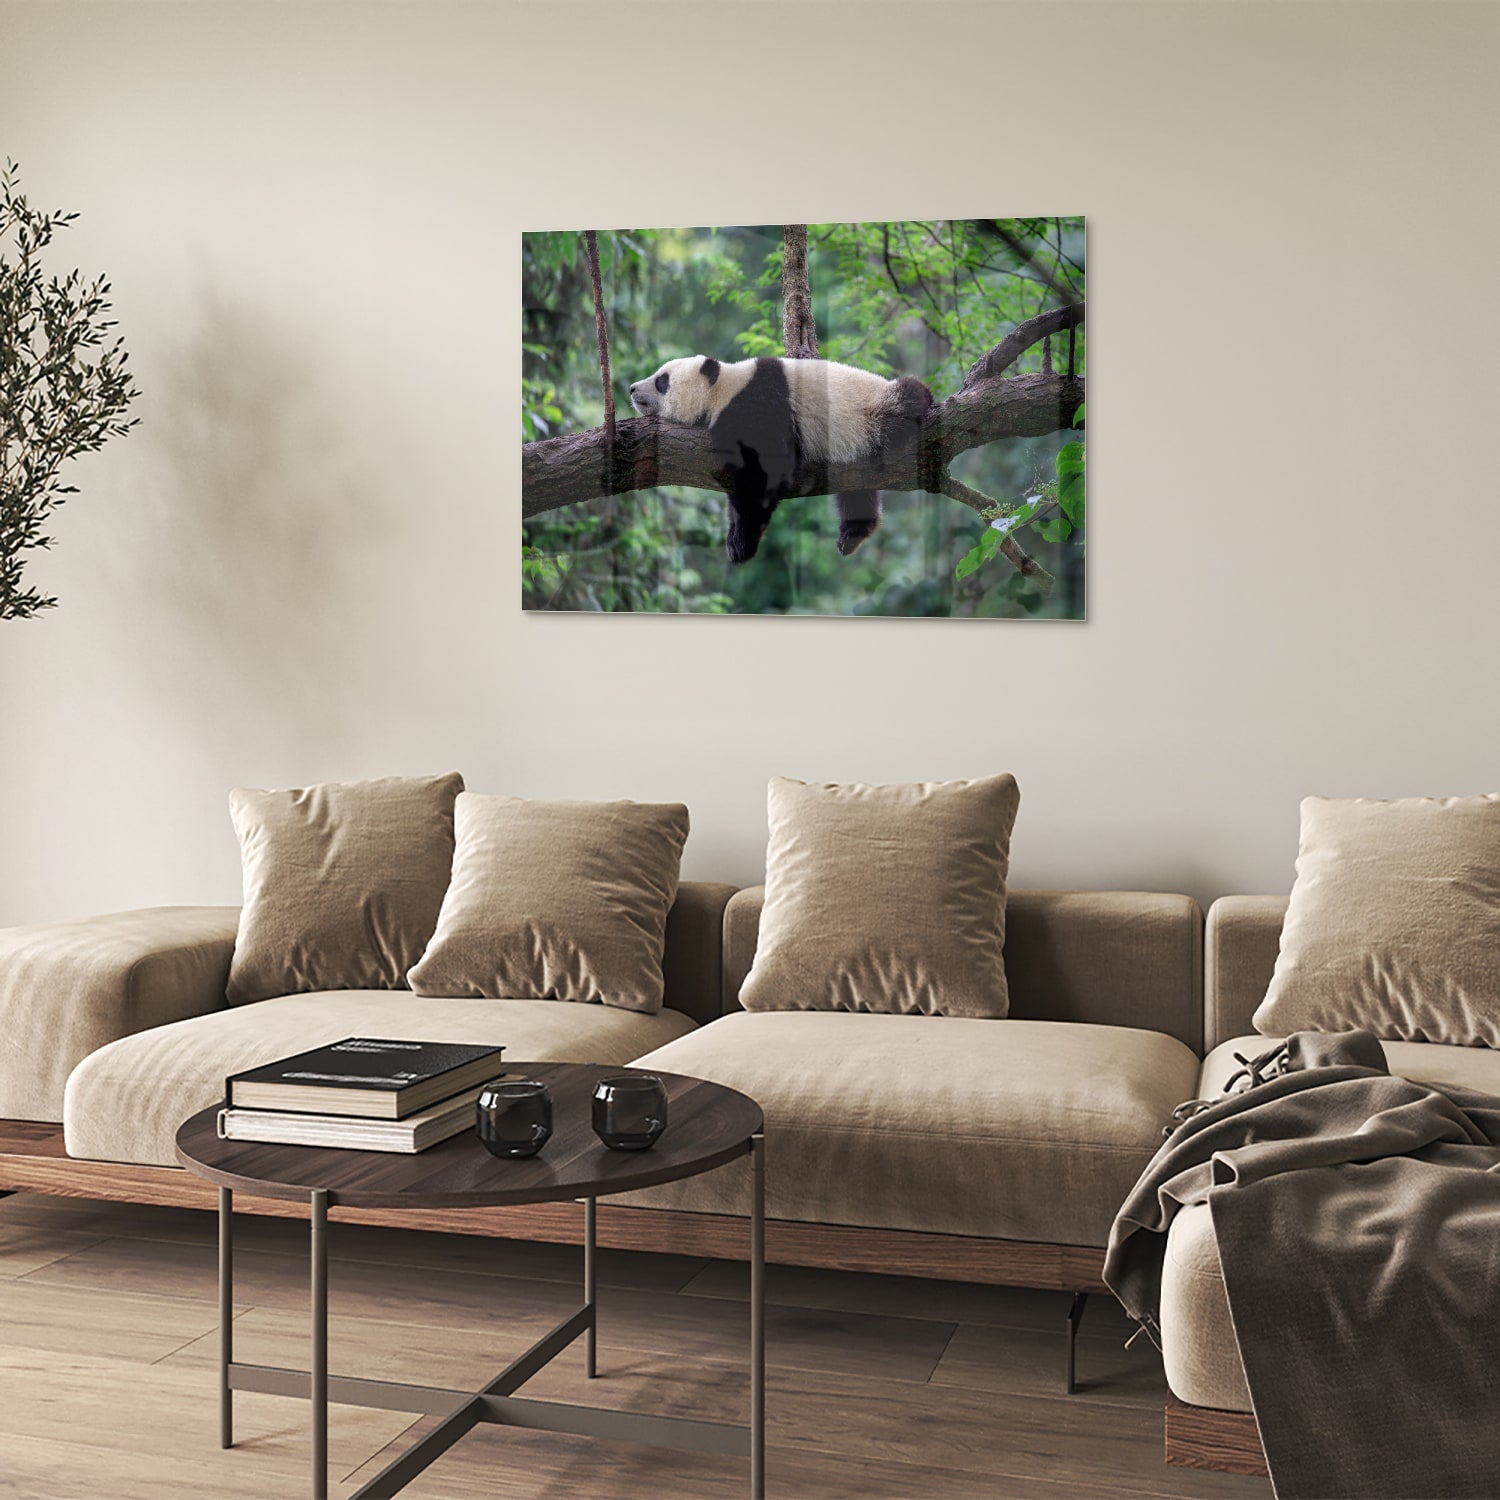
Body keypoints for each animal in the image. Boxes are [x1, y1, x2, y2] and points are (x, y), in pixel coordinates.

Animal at [627, 355, 933, 564]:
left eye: (662, 381)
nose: (631, 388)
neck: (723, 388)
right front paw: (733, 537)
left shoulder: (759, 408)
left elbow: (761, 476)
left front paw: (743, 543)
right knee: (856, 491)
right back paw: (852, 534)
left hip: (873, 411)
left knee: (907, 398)